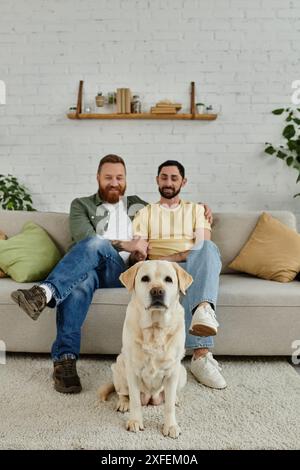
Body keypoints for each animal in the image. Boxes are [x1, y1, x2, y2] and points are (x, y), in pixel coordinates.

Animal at [98, 258, 192, 438]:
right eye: (145, 279)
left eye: (168, 279)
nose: (157, 291)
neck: (155, 328)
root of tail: (150, 398)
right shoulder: (132, 371)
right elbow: (135, 401)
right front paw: (135, 421)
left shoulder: (173, 371)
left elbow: (168, 406)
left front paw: (170, 425)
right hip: (119, 366)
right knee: (123, 393)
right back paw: (123, 403)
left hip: (182, 372)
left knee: (171, 395)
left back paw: (175, 398)